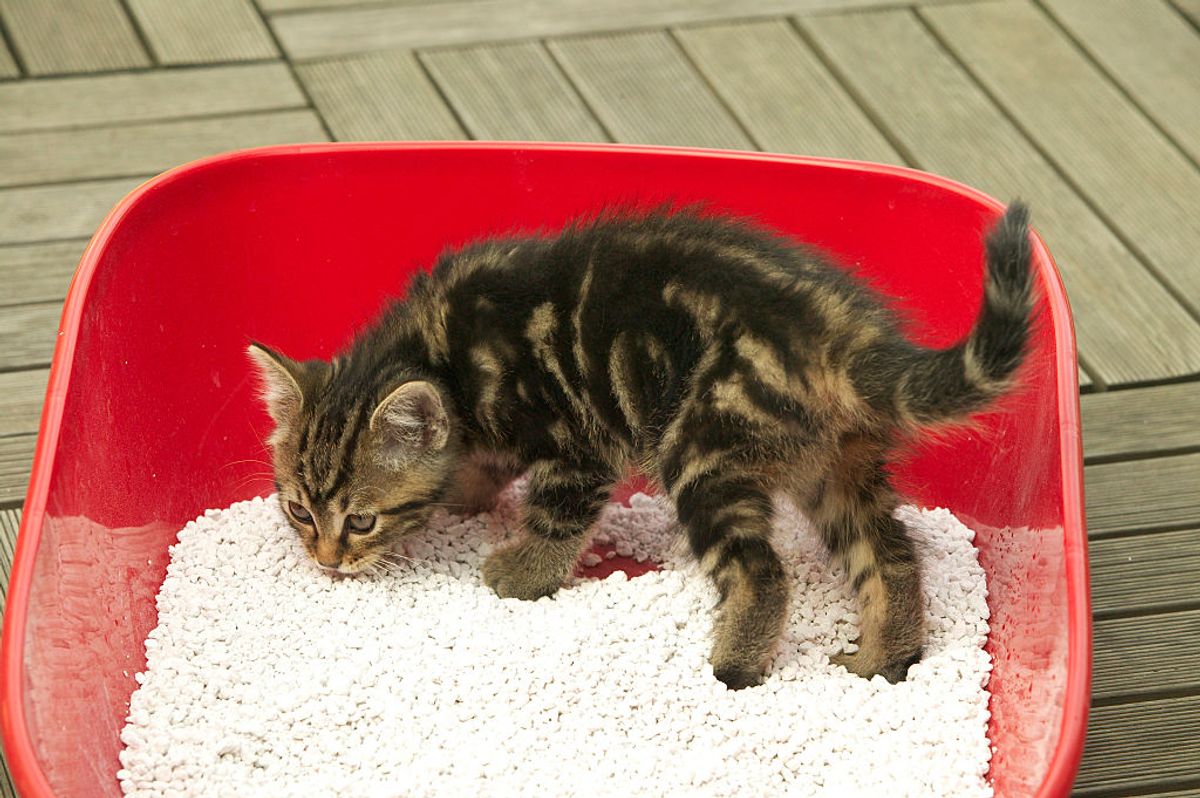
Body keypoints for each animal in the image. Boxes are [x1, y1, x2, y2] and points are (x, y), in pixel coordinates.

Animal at [250, 202, 1032, 686]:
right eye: (298, 511)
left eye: (360, 519)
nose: (326, 561)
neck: (440, 354)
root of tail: (848, 337)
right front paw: (465, 499)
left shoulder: (577, 443)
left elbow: (556, 514)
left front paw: (519, 572)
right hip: (839, 468)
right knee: (891, 557)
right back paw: (882, 662)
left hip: (703, 452)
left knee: (761, 573)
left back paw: (734, 669)